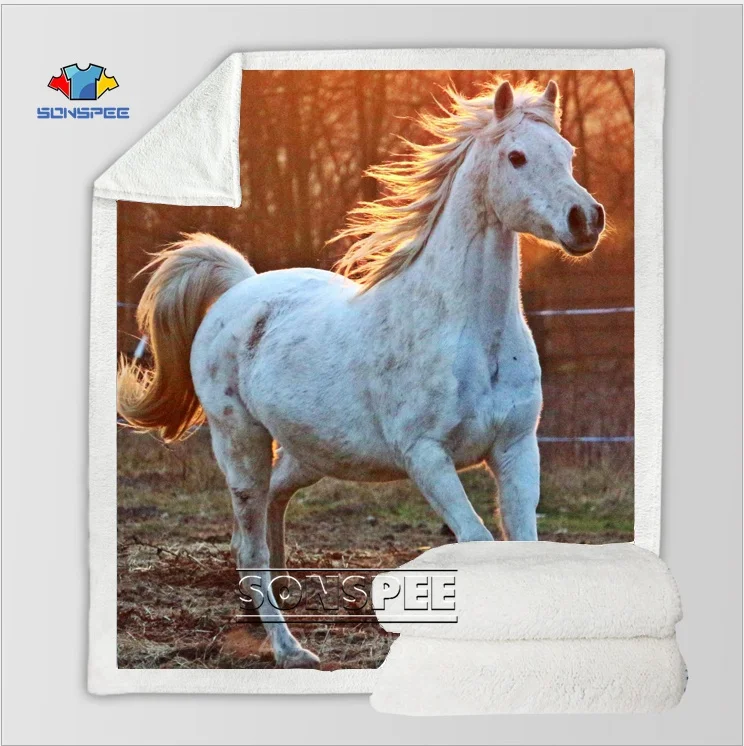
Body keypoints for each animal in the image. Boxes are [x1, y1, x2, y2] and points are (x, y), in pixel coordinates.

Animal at [117, 79, 605, 669]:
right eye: (516, 157)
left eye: (568, 154)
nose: (586, 220)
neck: (467, 332)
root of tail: (239, 289)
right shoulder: (427, 457)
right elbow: (479, 541)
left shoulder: (515, 447)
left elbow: (525, 546)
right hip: (240, 443)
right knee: (250, 540)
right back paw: (291, 650)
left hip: (310, 453)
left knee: (267, 513)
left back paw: (257, 622)